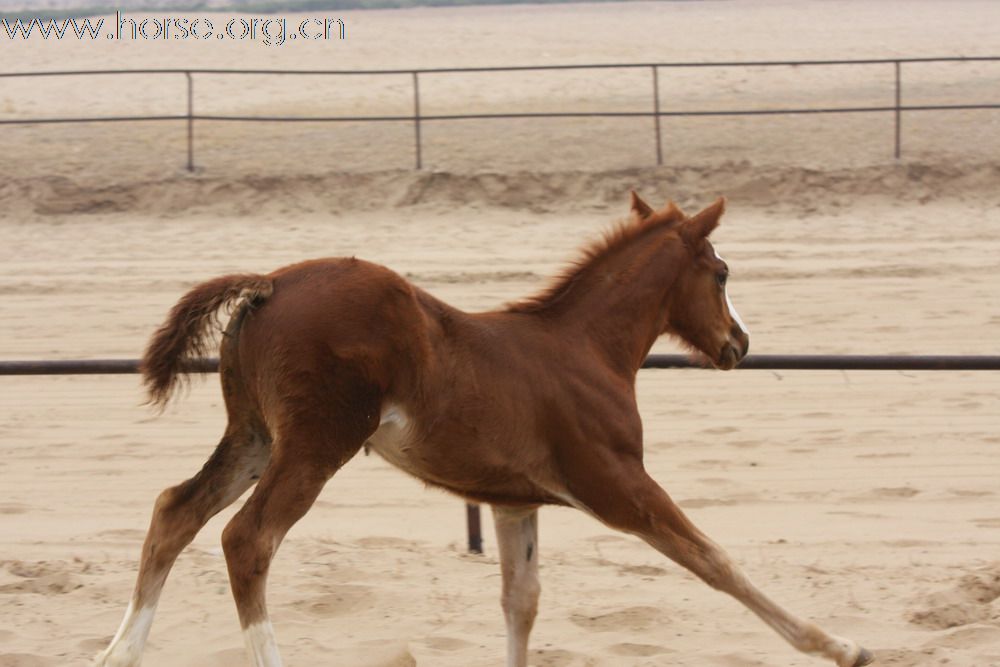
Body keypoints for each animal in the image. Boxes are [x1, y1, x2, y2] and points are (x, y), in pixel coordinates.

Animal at [97, 194, 872, 667]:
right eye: (721, 272)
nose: (738, 343)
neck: (584, 348)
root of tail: (269, 284)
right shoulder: (618, 484)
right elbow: (714, 561)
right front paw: (840, 645)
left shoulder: (513, 500)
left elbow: (520, 601)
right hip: (317, 444)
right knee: (247, 538)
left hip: (255, 435)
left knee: (176, 509)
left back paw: (117, 652)